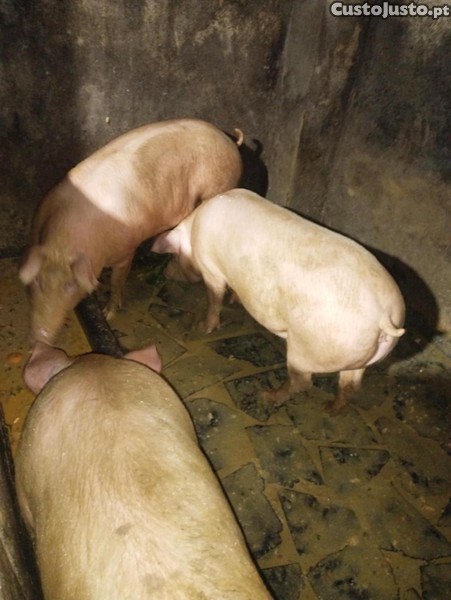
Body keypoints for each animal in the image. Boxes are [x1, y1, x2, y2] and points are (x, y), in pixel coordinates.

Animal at [19, 118, 243, 344]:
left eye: (70, 285)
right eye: (37, 282)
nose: (40, 336)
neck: (63, 245)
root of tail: (229, 140)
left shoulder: (126, 250)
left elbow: (117, 280)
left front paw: (108, 313)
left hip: (218, 185)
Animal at [151, 188, 406, 413]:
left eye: (173, 256)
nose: (166, 274)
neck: (193, 228)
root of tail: (384, 317)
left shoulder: (210, 268)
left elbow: (214, 298)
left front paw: (203, 328)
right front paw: (234, 300)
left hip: (306, 350)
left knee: (303, 382)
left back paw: (268, 396)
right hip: (360, 359)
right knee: (351, 385)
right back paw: (330, 409)